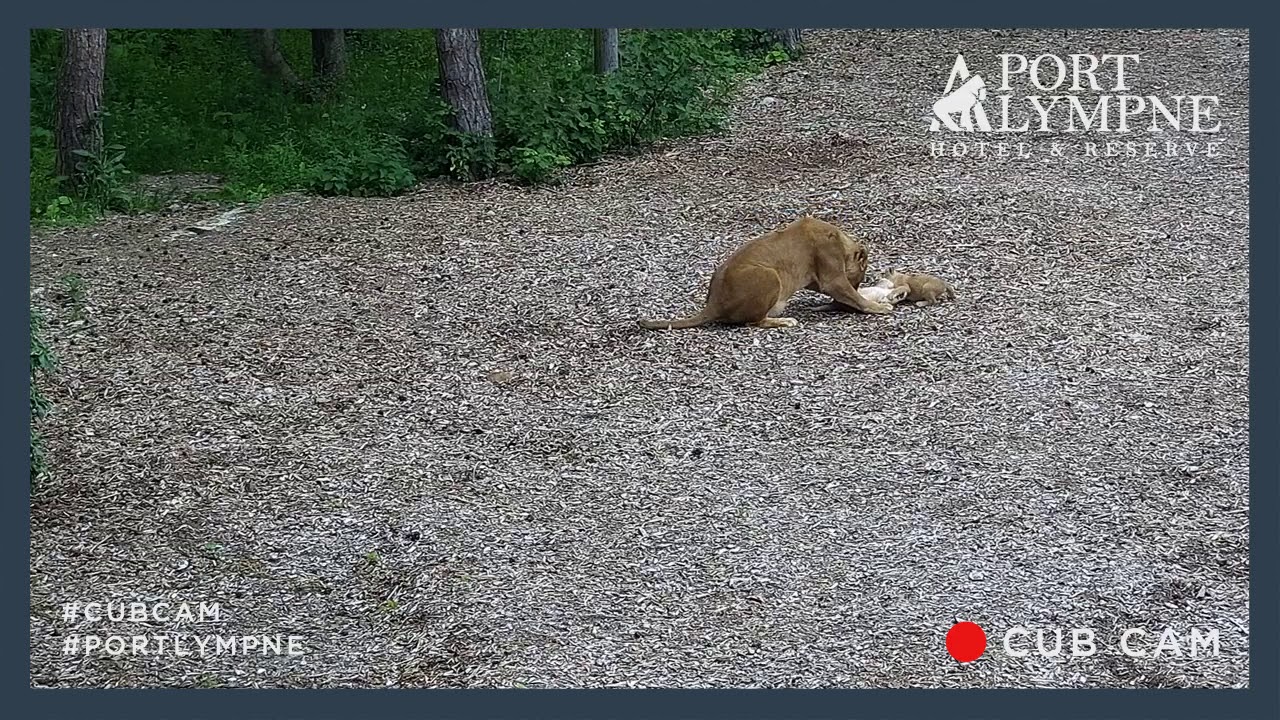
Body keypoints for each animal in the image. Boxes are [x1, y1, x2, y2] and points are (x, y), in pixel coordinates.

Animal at [637, 216, 894, 330]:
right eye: (860, 277)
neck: (841, 241)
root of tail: (713, 304)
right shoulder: (832, 278)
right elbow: (855, 297)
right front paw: (879, 307)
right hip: (770, 276)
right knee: (754, 321)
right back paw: (784, 320)